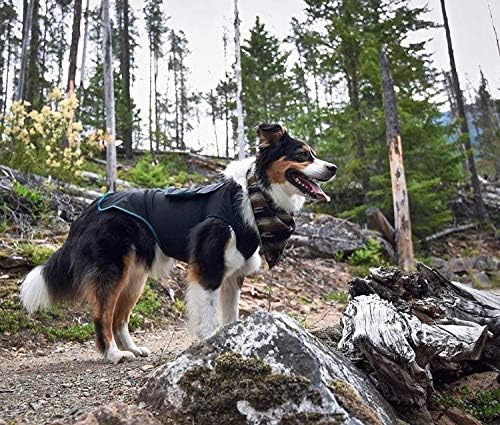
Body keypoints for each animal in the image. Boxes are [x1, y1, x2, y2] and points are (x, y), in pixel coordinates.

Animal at [19, 121, 336, 362]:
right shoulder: (208, 267)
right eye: (303, 154)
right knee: (102, 314)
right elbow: (209, 316)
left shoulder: (234, 273)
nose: (332, 167)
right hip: (113, 270)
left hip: (135, 277)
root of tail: (90, 208)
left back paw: (132, 348)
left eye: (314, 154)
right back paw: (113, 354)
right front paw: (211, 341)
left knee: (120, 316)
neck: (253, 195)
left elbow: (231, 314)